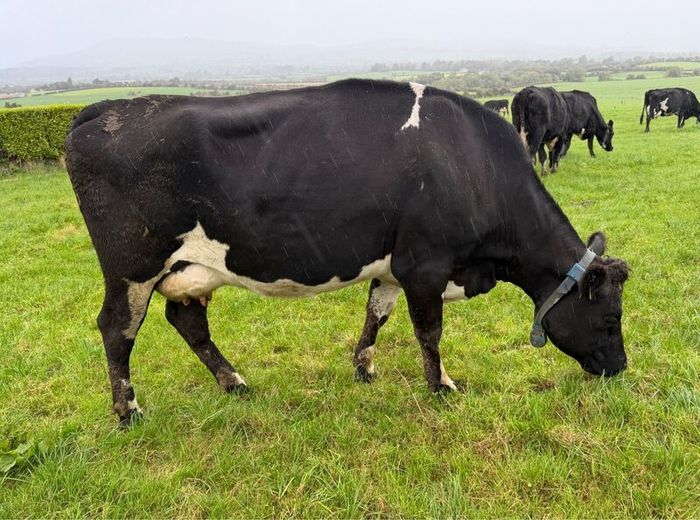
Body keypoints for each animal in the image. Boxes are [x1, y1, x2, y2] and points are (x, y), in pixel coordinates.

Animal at [65, 79, 630, 425]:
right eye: (609, 319)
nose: (620, 367)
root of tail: (103, 110)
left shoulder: (395, 265)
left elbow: (376, 314)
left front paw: (364, 369)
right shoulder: (425, 265)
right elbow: (429, 333)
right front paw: (442, 385)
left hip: (190, 269)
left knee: (187, 322)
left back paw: (234, 383)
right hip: (131, 265)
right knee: (117, 329)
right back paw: (129, 411)